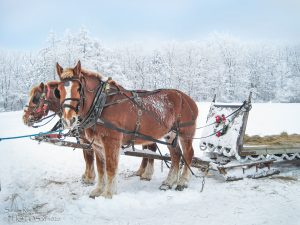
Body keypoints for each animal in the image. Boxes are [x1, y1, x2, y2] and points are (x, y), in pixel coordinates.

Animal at [22, 81, 158, 183]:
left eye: (35, 98)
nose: (24, 118)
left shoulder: (89, 140)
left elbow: (88, 157)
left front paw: (89, 178)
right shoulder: (86, 139)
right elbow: (87, 157)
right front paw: (87, 175)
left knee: (152, 149)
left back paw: (147, 174)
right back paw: (141, 171)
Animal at [55, 60, 198, 198]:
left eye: (79, 88)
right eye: (58, 90)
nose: (68, 119)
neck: (101, 105)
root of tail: (188, 99)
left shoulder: (111, 141)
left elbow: (111, 168)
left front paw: (108, 194)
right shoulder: (97, 145)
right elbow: (101, 169)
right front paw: (98, 190)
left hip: (185, 133)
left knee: (188, 153)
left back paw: (182, 182)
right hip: (170, 135)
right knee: (176, 155)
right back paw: (168, 182)